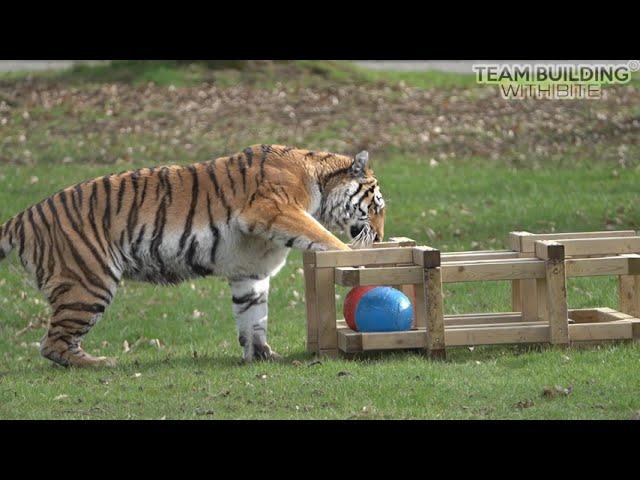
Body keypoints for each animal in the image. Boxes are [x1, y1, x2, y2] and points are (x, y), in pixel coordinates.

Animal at [0, 144, 384, 366]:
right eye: (376, 207)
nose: (380, 236)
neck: (318, 179)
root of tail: (24, 216)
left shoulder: (249, 271)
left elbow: (253, 316)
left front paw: (263, 355)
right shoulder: (274, 208)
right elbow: (323, 237)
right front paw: (354, 256)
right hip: (88, 284)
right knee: (52, 344)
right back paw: (101, 363)